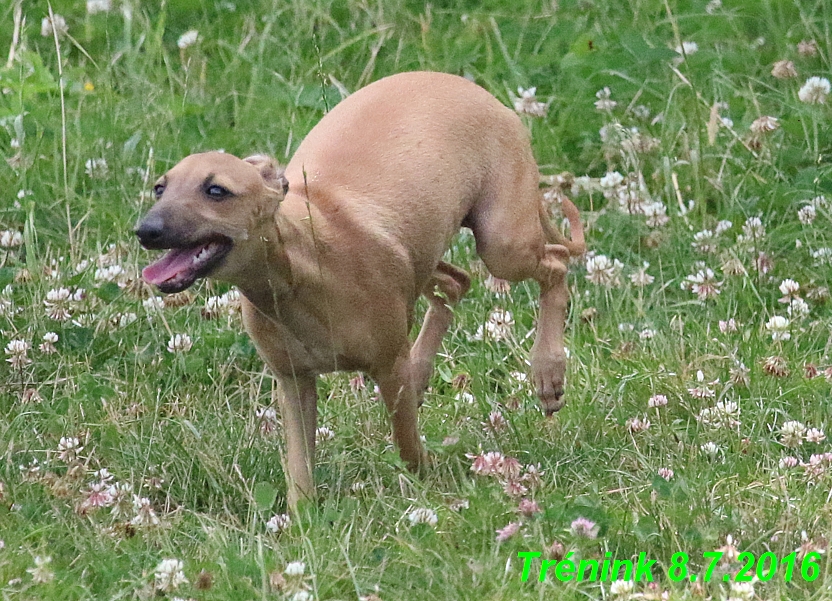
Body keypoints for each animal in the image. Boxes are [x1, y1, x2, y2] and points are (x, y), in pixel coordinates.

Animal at [136, 72, 584, 508]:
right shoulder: (294, 382)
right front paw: (303, 521)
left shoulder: (386, 367)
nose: (145, 230)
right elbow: (299, 470)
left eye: (216, 190)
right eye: (160, 188)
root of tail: (477, 91)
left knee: (556, 263)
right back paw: (423, 368)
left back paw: (547, 369)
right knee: (455, 284)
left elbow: (408, 447)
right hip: (420, 253)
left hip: (502, 242)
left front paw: (427, 486)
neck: (299, 274)